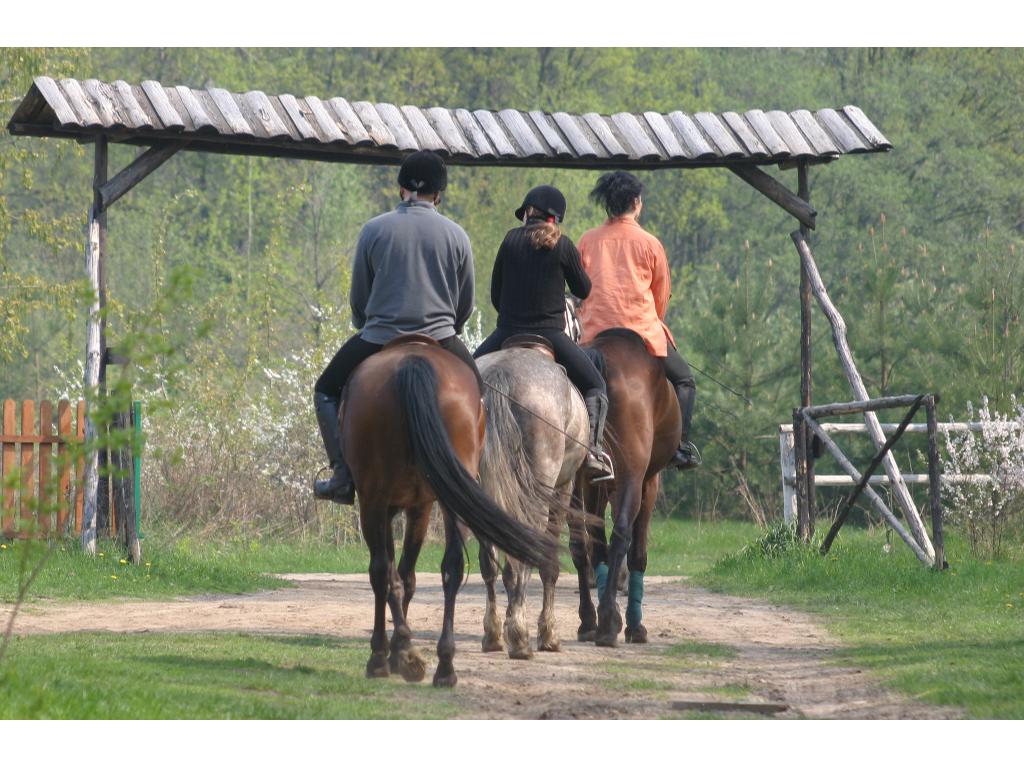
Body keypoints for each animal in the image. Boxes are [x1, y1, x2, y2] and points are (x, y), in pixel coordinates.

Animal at [342, 333, 552, 688]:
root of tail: (413, 361)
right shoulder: (418, 506)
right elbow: (406, 576)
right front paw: (403, 652)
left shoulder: (391, 505)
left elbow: (394, 575)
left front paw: (394, 653)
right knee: (451, 567)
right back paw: (445, 665)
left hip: (376, 499)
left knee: (382, 570)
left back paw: (391, 658)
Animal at [475, 342, 589, 663]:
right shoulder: (562, 489)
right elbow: (548, 563)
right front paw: (548, 634)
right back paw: (520, 636)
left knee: (489, 561)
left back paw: (494, 635)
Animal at [569, 331, 679, 651]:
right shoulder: (648, 481)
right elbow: (637, 552)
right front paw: (634, 625)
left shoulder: (596, 486)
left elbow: (596, 546)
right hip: (631, 476)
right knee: (620, 536)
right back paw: (609, 622)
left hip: (576, 481)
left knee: (583, 545)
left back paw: (589, 621)